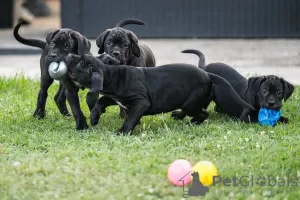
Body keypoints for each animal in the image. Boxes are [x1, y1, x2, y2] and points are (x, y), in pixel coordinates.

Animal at [63, 54, 255, 134]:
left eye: (79, 63)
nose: (70, 55)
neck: (111, 75)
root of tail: (207, 74)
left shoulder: (141, 102)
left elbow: (130, 119)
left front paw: (122, 132)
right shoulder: (117, 98)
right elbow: (102, 99)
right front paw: (94, 117)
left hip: (190, 103)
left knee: (204, 113)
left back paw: (193, 122)